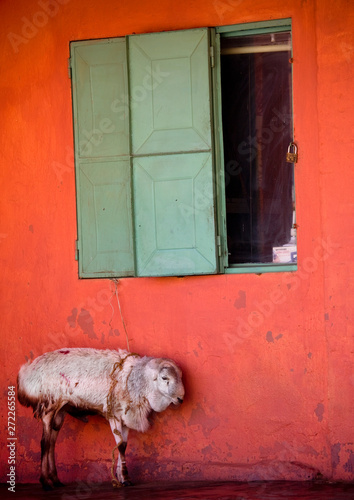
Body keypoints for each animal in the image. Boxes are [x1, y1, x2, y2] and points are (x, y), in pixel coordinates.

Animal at [17, 346, 185, 490]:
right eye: (164, 377)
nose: (181, 398)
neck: (133, 380)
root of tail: (27, 373)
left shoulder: (125, 417)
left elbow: (123, 444)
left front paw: (122, 478)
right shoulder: (115, 415)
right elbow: (121, 446)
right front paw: (125, 478)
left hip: (60, 410)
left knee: (52, 442)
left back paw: (56, 480)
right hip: (48, 405)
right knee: (44, 443)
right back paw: (45, 482)